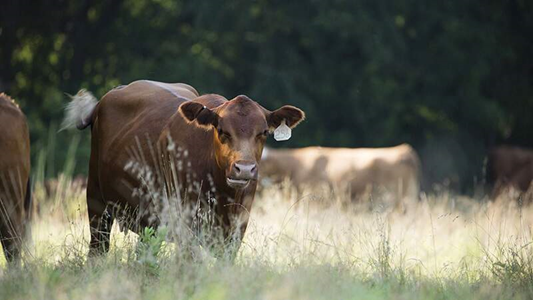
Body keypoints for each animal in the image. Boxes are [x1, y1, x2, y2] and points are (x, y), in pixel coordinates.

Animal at [61, 79, 304, 255]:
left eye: (263, 132)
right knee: (98, 248)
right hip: (96, 200)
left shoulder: (236, 229)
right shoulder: (186, 223)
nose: (244, 169)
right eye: (222, 130)